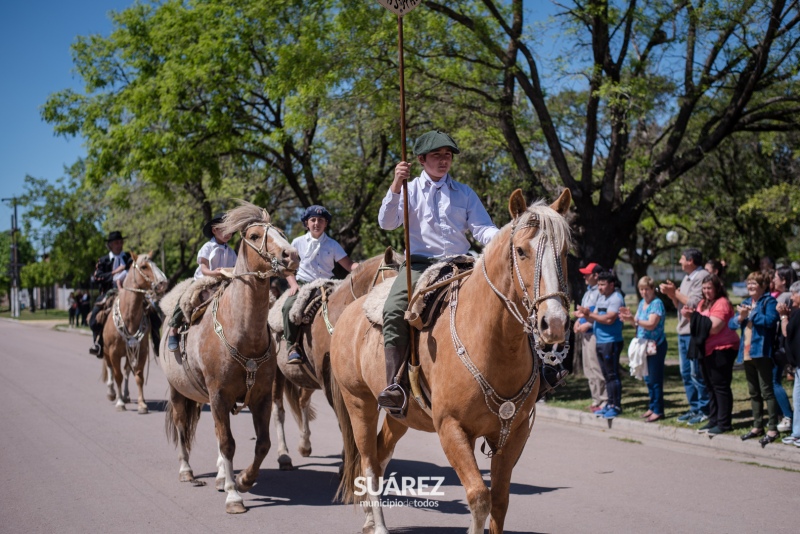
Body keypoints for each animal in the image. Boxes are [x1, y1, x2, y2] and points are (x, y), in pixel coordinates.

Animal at [101, 251, 167, 414]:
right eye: (144, 266)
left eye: (155, 263)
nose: (163, 282)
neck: (128, 316)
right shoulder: (114, 352)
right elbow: (117, 375)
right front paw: (119, 403)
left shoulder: (141, 350)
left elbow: (138, 376)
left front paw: (142, 404)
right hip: (106, 350)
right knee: (110, 368)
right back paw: (112, 393)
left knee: (127, 371)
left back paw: (126, 395)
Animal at [155, 203, 298, 516]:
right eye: (255, 235)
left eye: (281, 232)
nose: (291, 255)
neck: (242, 332)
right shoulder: (219, 395)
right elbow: (227, 443)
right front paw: (234, 496)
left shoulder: (260, 397)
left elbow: (262, 444)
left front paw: (243, 479)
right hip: (179, 392)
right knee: (182, 427)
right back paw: (188, 471)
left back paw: (222, 475)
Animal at [274, 249, 400, 472]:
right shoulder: (329, 382)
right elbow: (345, 422)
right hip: (275, 373)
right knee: (279, 410)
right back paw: (284, 455)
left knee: (302, 401)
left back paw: (305, 445)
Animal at [332, 189, 576, 534]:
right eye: (521, 251)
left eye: (565, 253)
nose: (553, 323)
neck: (492, 342)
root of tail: (350, 312)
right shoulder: (452, 429)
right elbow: (479, 497)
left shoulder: (514, 432)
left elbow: (500, 501)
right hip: (358, 403)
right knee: (368, 462)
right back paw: (377, 525)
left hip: (401, 415)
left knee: (380, 456)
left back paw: (369, 518)